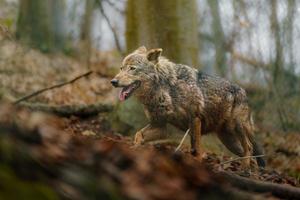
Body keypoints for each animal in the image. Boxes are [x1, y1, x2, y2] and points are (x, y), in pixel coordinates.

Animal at [112, 46, 264, 167]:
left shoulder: (195, 119)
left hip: (237, 128)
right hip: (228, 141)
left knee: (249, 148)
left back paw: (246, 169)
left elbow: (196, 149)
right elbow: (138, 135)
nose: (113, 81)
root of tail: (244, 92)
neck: (165, 88)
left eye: (132, 69)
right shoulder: (161, 126)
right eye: (121, 68)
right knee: (252, 156)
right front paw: (134, 150)